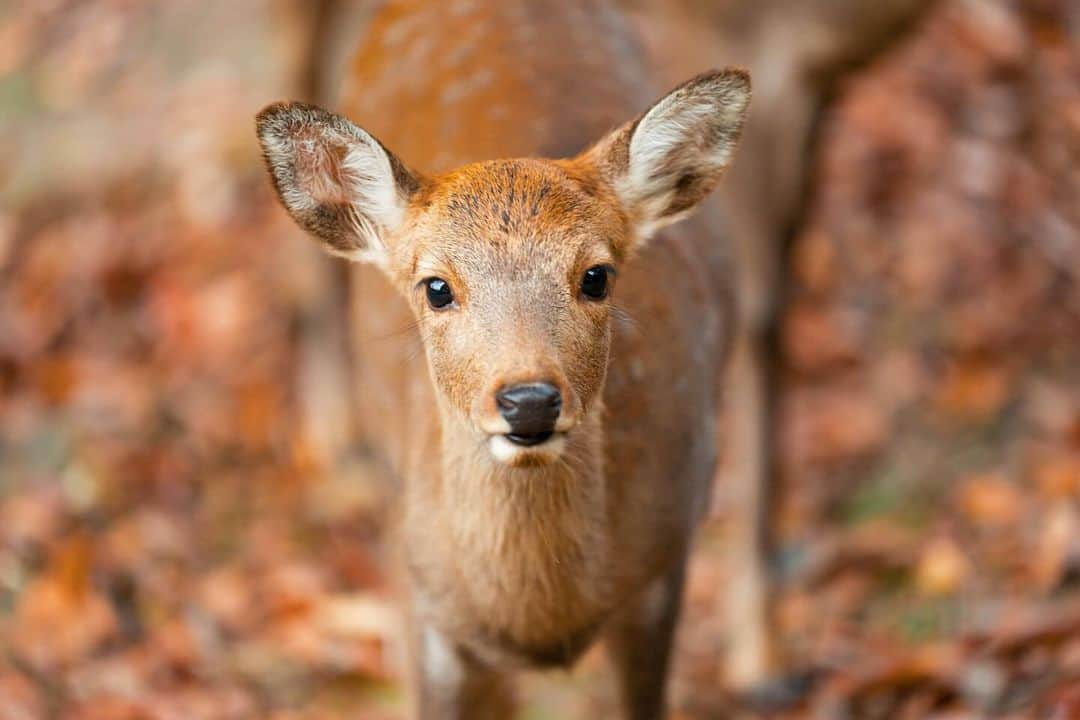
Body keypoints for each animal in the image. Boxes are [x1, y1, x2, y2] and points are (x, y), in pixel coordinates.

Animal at [257, 1, 751, 716]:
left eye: (597, 276)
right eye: (436, 287)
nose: (529, 400)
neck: (540, 624)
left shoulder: (667, 562)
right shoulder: (421, 604)